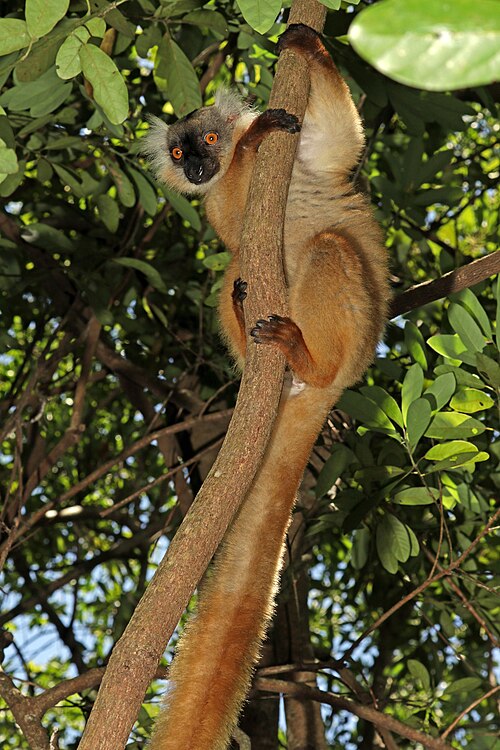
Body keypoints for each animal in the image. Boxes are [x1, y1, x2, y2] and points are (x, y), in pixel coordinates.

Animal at [143, 24, 390, 750]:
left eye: (207, 138)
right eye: (179, 151)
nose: (198, 167)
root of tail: (336, 382)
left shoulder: (305, 156)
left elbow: (338, 143)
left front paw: (307, 43)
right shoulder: (225, 203)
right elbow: (233, 223)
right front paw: (255, 144)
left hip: (351, 334)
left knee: (329, 246)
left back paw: (303, 357)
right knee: (239, 271)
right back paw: (269, 337)